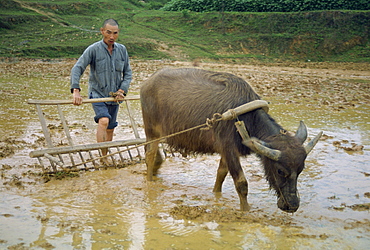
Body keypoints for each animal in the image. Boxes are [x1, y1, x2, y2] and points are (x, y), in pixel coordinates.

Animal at [140, 67, 322, 212]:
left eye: (301, 170)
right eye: (280, 171)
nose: (292, 206)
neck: (246, 117)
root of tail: (147, 83)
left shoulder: (228, 152)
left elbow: (221, 173)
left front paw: (216, 193)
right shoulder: (229, 149)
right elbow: (241, 183)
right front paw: (245, 210)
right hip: (152, 132)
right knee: (149, 155)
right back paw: (149, 181)